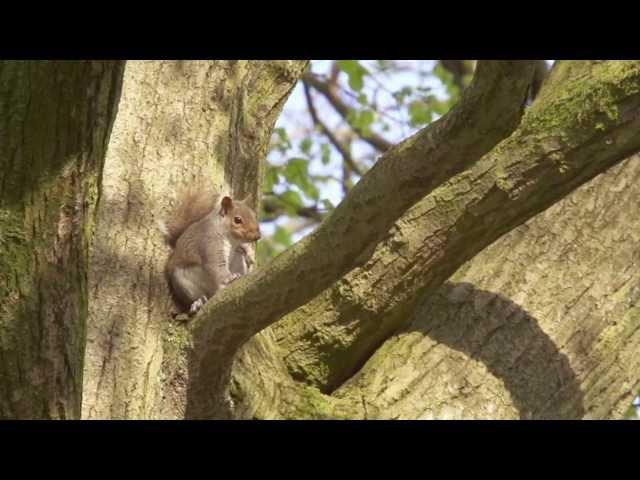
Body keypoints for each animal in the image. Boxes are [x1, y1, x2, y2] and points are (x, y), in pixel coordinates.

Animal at [159, 186, 262, 316]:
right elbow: (216, 265)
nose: (257, 236)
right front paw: (229, 277)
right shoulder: (209, 242)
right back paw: (198, 302)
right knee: (198, 296)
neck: (231, 239)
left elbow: (243, 248)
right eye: (237, 220)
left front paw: (250, 254)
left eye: (254, 216)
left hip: (237, 260)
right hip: (183, 281)